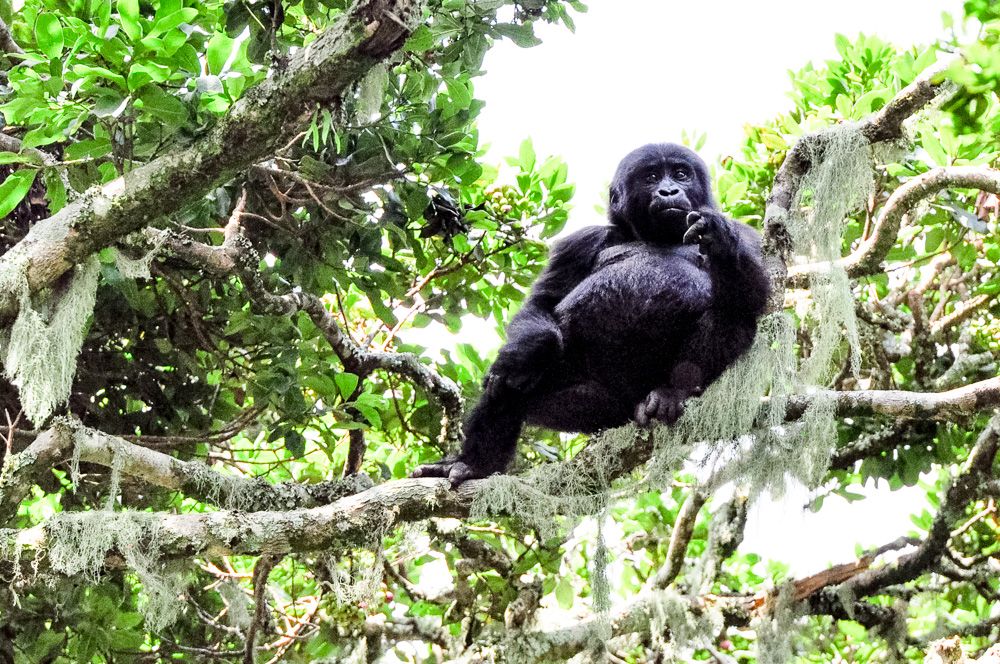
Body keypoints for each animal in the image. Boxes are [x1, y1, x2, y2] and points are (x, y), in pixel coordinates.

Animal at [414, 143, 772, 486]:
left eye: (681, 173)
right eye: (651, 177)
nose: (668, 190)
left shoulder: (747, 235)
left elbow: (755, 296)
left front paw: (718, 238)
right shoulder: (581, 241)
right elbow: (542, 305)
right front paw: (527, 351)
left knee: (732, 315)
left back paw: (674, 391)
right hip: (598, 409)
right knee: (515, 381)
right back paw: (476, 462)